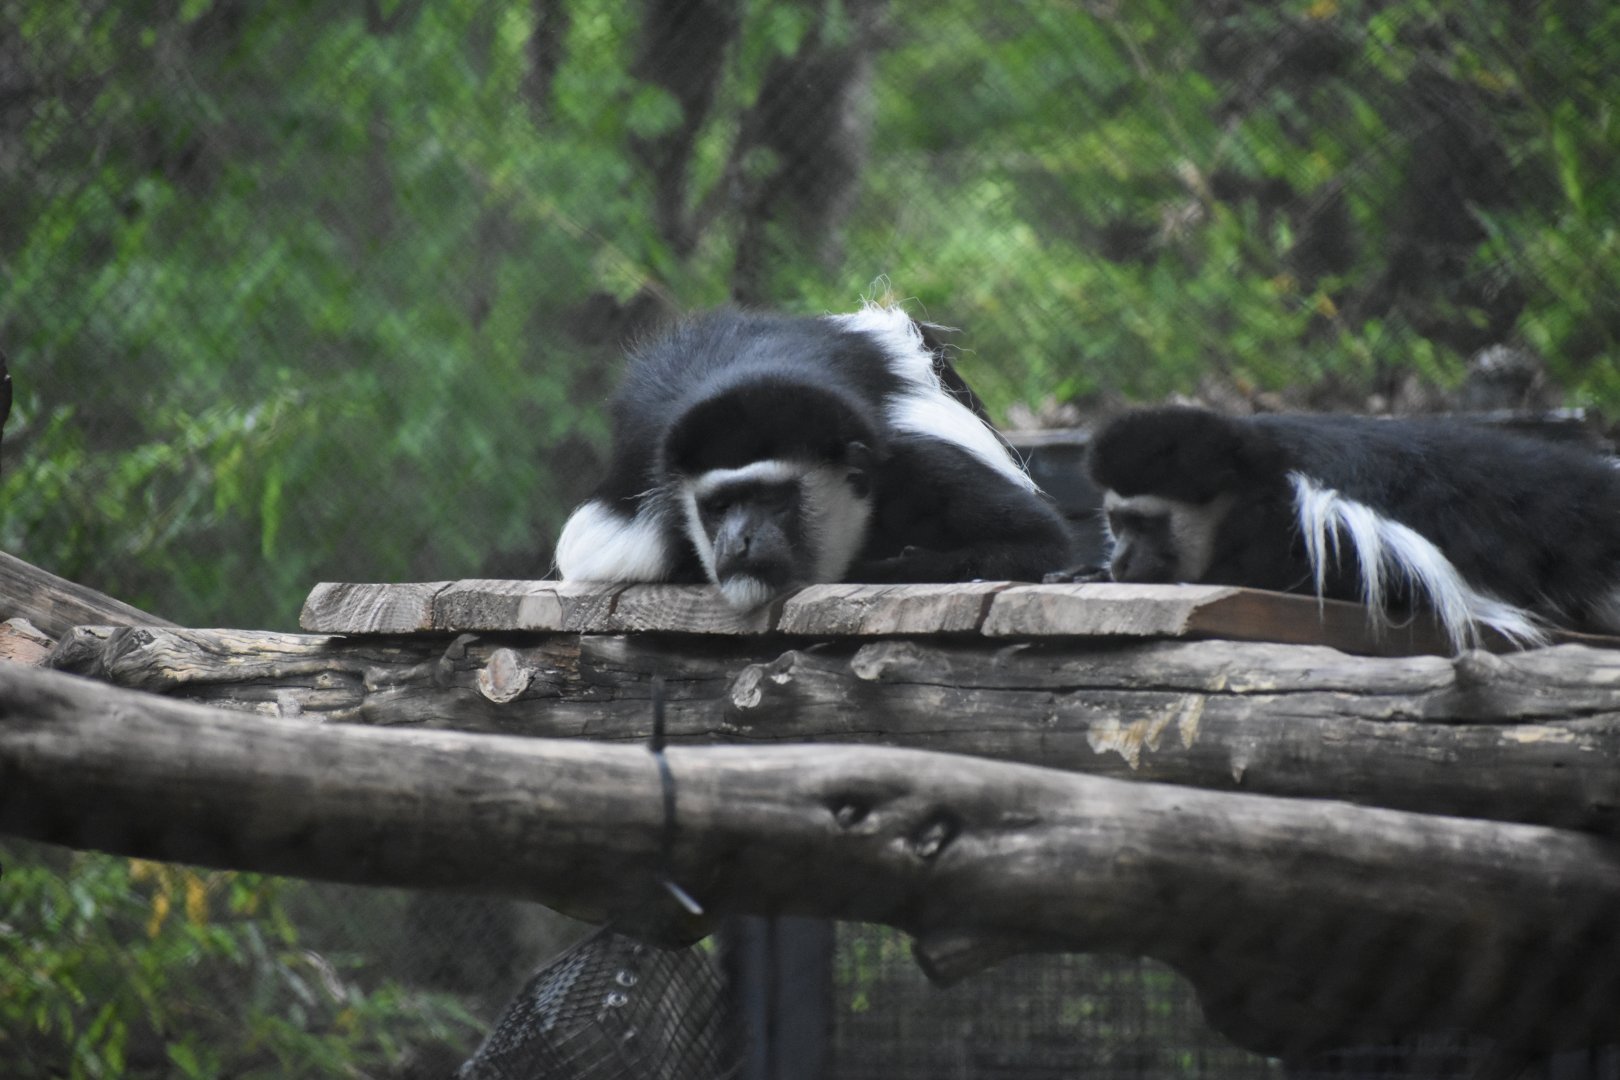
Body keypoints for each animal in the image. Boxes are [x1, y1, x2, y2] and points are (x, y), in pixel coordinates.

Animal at [554, 303, 1075, 608]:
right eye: (719, 507)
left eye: (774, 500)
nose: (738, 542)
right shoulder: (652, 519)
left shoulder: (915, 465)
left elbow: (1040, 543)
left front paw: (892, 567)